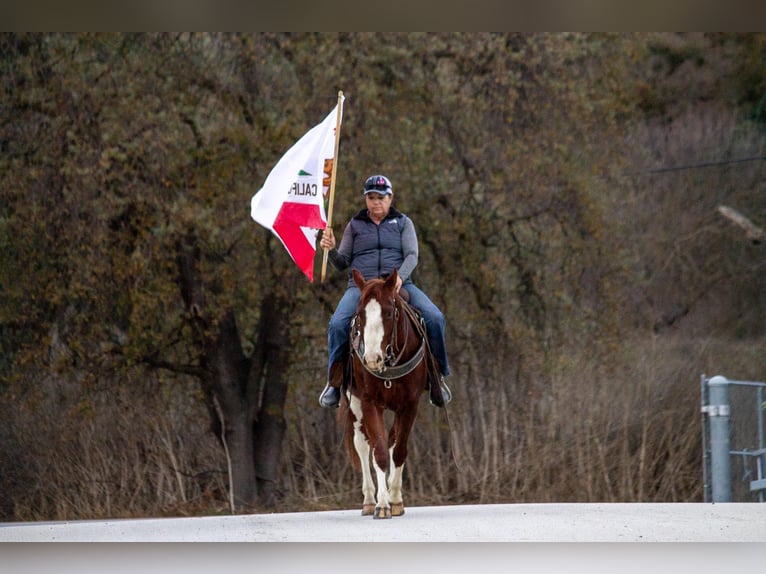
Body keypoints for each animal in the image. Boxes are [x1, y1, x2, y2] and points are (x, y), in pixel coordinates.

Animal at [340, 268, 436, 520]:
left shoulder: (410, 405)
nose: (372, 358)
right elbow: (380, 452)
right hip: (355, 405)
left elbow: (398, 450)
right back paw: (368, 501)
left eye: (389, 312)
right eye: (360, 314)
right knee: (363, 445)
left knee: (391, 441)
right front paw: (382, 505)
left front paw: (395, 500)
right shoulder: (370, 403)